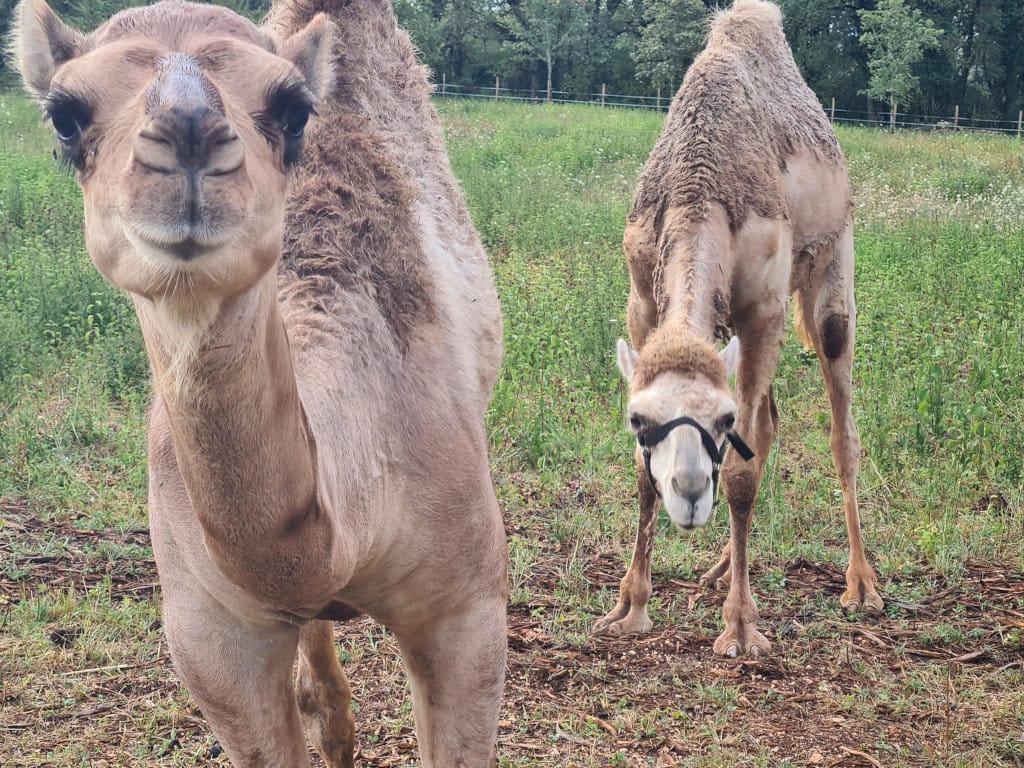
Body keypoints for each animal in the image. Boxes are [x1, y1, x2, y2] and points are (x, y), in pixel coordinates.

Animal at [594, 0, 883, 657]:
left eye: (721, 420)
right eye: (638, 419)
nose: (689, 489)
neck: (699, 193)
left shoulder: (764, 310)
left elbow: (743, 471)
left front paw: (742, 627)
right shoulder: (642, 302)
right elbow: (643, 472)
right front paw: (629, 607)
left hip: (835, 260)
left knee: (841, 426)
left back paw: (862, 586)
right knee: (772, 422)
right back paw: (720, 566)